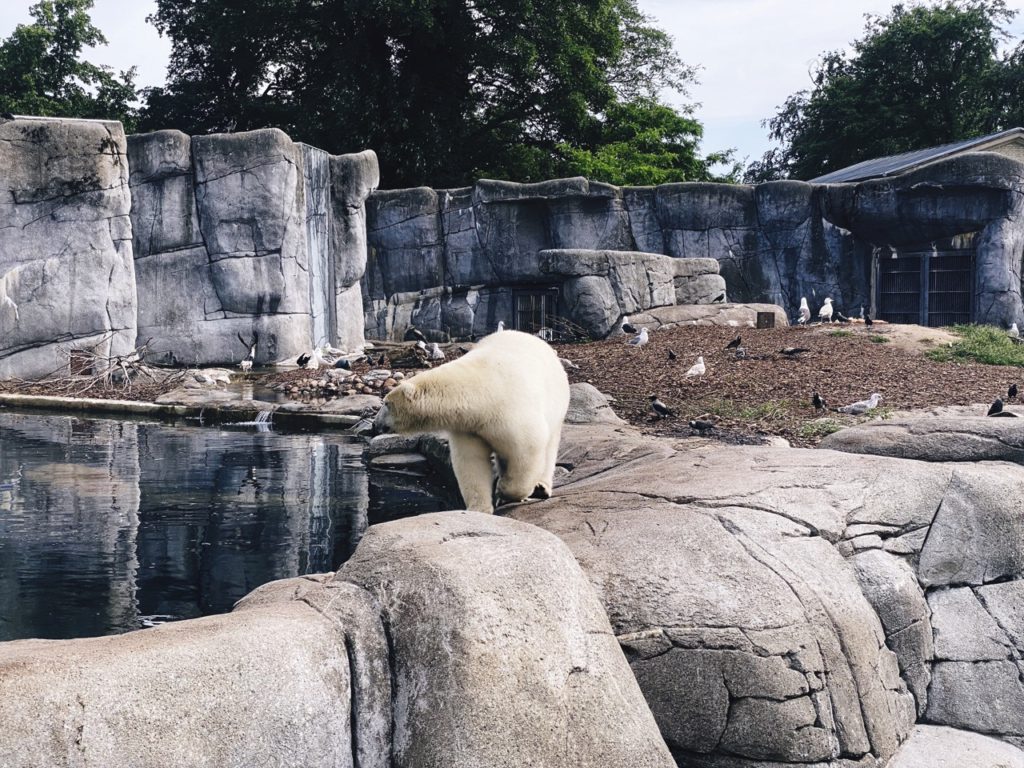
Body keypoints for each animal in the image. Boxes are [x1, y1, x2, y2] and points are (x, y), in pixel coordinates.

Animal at [375, 330, 570, 513]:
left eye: (386, 403)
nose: (375, 424)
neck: (483, 392)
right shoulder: (469, 425)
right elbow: (471, 461)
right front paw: (479, 508)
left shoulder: (513, 412)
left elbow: (527, 449)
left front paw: (503, 490)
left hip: (556, 405)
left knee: (549, 447)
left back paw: (541, 488)